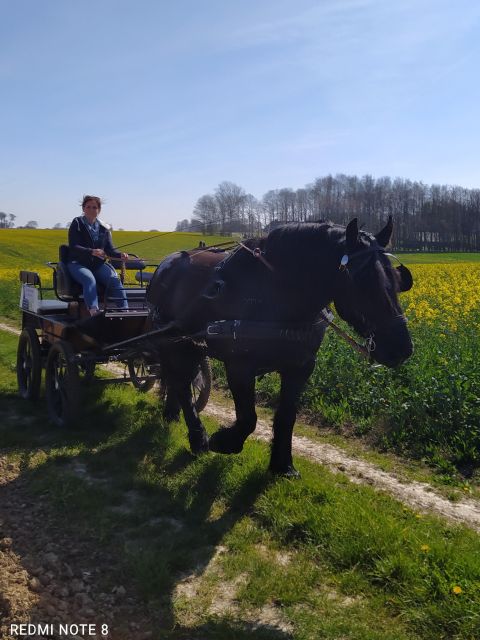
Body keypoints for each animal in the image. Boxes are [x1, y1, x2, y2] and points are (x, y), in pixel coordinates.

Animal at [145, 218, 412, 478]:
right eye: (364, 281)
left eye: (397, 279)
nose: (403, 349)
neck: (275, 292)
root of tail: (165, 265)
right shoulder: (239, 365)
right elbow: (248, 418)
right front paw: (223, 442)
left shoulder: (301, 366)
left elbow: (286, 416)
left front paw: (283, 465)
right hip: (174, 342)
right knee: (181, 383)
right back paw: (198, 438)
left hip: (189, 344)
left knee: (180, 380)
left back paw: (172, 414)